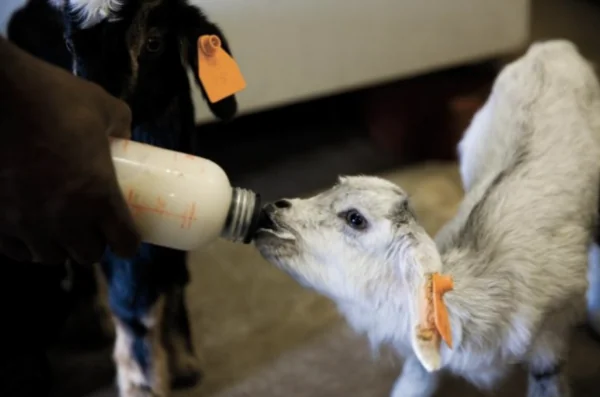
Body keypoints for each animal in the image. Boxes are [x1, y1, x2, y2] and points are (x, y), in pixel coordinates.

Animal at [5, 1, 239, 394]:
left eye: (154, 43)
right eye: (69, 45)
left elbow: (166, 284)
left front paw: (183, 360)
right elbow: (134, 309)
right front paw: (142, 383)